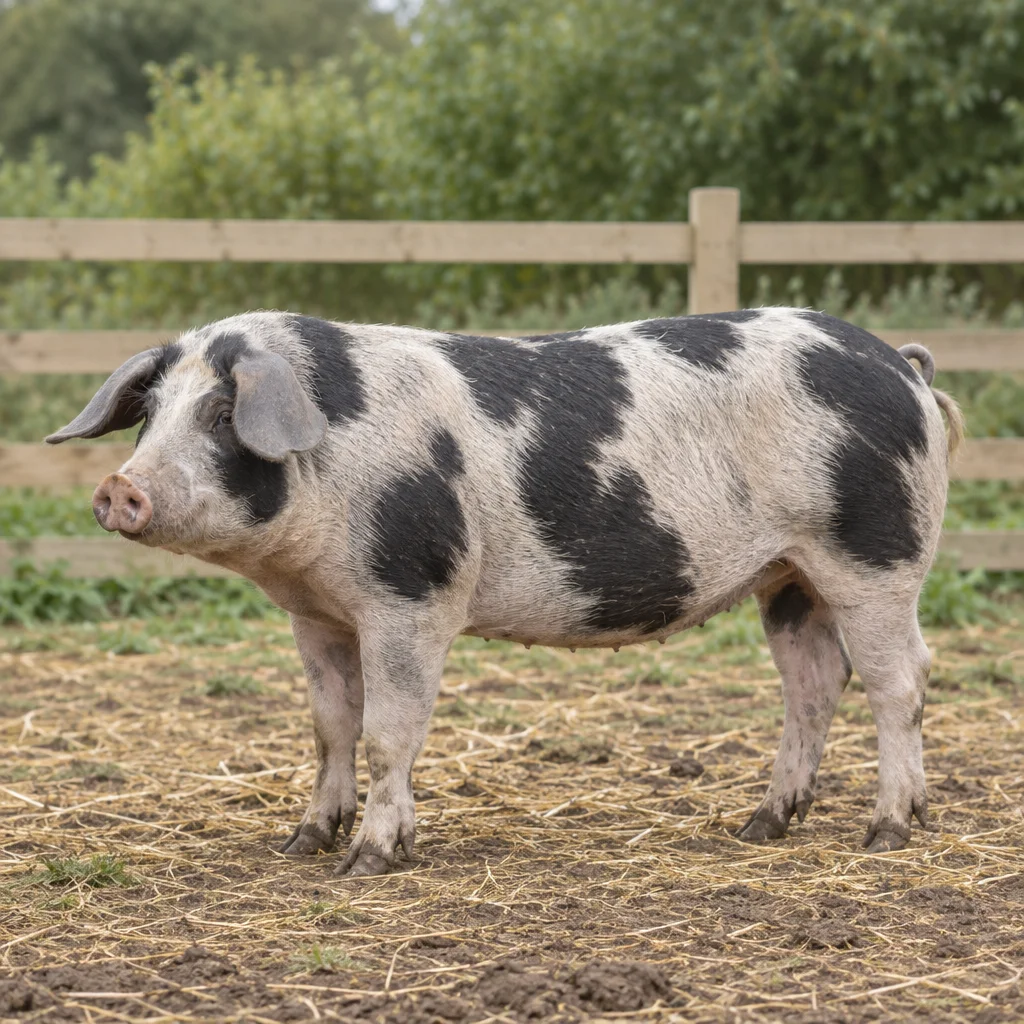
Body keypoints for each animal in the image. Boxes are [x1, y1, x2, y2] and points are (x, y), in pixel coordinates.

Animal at [47, 308, 963, 876]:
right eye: (150, 415)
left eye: (221, 414)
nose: (119, 489)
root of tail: (901, 365)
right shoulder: (318, 614)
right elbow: (329, 728)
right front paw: (300, 845)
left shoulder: (411, 597)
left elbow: (387, 734)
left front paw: (368, 862)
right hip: (790, 575)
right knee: (815, 683)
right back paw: (760, 826)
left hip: (874, 555)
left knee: (901, 680)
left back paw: (887, 834)